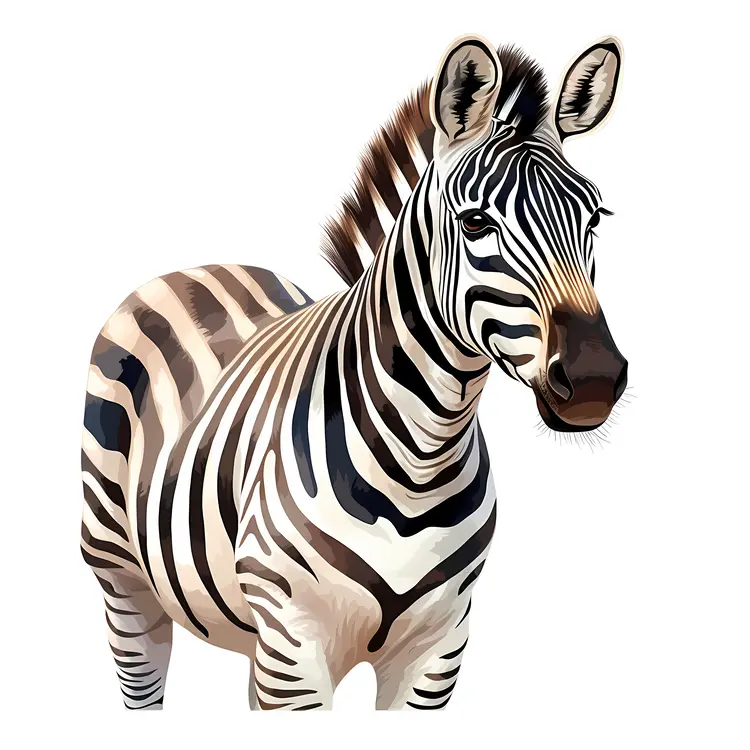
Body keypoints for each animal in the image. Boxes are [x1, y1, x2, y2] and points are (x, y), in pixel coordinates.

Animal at [81, 34, 628, 711]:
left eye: (596, 217)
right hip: (122, 582)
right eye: (475, 222)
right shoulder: (293, 647)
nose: (595, 379)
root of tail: (196, 268)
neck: (421, 461)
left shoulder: (438, 650)